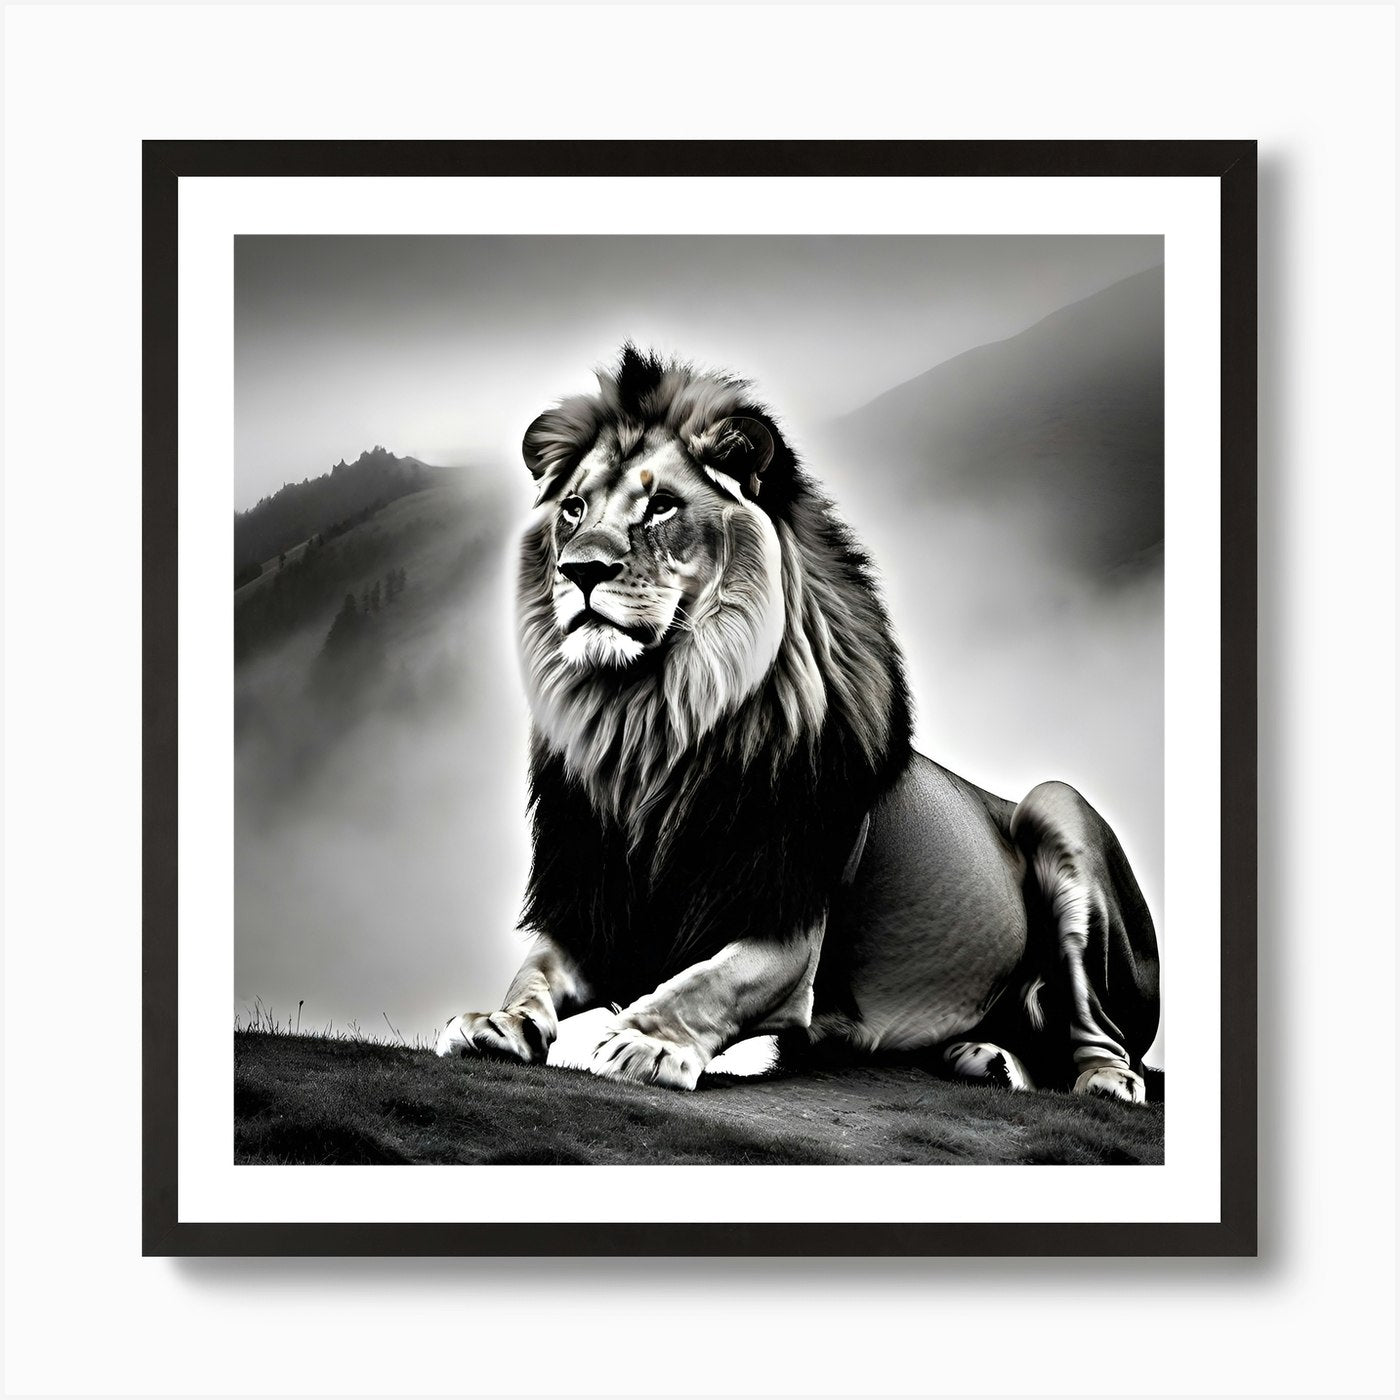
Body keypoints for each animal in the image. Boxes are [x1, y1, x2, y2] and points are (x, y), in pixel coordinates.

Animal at [437, 345, 1160, 1103]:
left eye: (661, 506)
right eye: (573, 509)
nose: (579, 570)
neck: (650, 726)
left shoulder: (785, 928)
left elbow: (709, 980)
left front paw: (646, 1040)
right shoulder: (595, 908)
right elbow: (536, 969)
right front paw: (498, 1021)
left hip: (1059, 807)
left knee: (1101, 1033)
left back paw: (1100, 1078)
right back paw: (980, 1055)